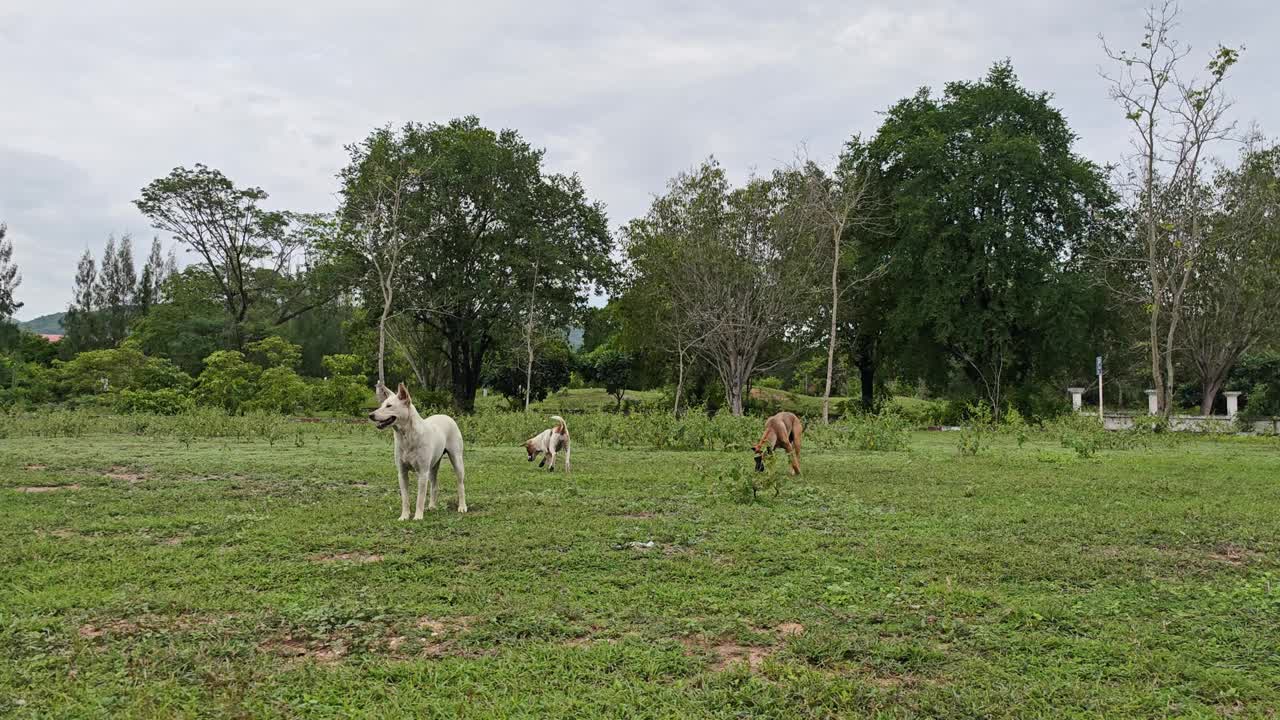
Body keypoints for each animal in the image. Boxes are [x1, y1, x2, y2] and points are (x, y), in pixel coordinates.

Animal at [368, 381, 468, 515]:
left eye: (389, 406)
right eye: (382, 405)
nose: (370, 415)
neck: (407, 437)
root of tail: (446, 416)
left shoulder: (422, 473)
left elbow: (420, 498)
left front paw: (418, 516)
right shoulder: (402, 473)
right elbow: (405, 498)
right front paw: (404, 516)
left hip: (456, 460)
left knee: (460, 484)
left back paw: (462, 506)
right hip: (432, 466)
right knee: (434, 485)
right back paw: (432, 506)